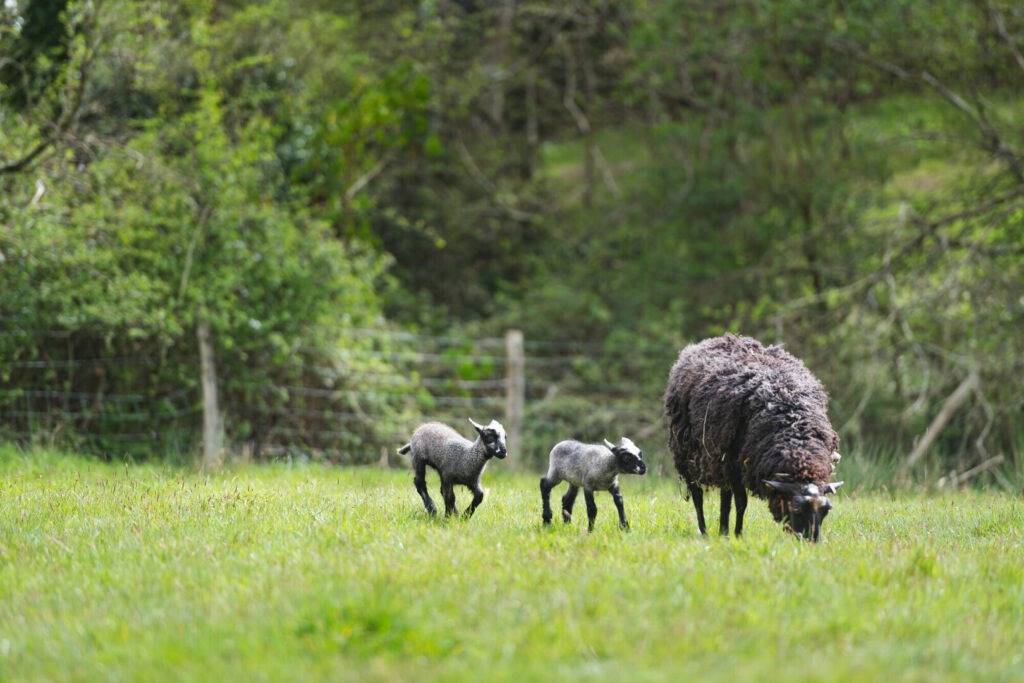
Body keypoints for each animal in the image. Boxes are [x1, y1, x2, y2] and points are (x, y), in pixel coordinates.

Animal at [663, 334, 843, 542]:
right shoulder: (736, 465)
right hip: (689, 456)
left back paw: (723, 531)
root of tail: (723, 337)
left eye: (827, 510)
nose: (811, 542)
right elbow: (742, 502)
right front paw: (738, 535)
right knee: (697, 495)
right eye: (796, 508)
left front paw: (731, 533)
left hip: (720, 458)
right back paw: (705, 531)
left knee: (725, 496)